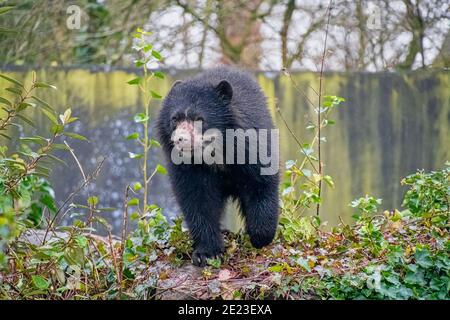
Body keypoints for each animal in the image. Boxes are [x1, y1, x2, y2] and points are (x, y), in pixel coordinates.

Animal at [156, 66, 280, 266]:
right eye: (175, 119)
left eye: (199, 119)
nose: (180, 139)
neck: (215, 151)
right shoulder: (188, 168)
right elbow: (197, 199)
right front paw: (208, 253)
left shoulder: (251, 147)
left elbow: (260, 183)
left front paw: (260, 237)